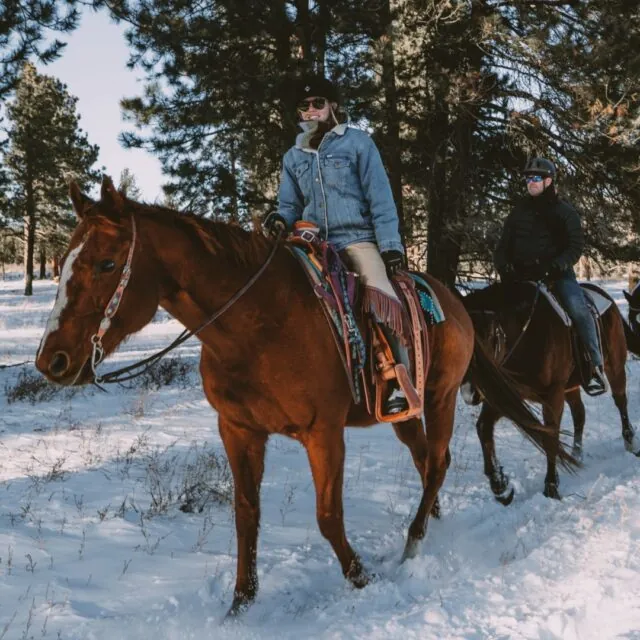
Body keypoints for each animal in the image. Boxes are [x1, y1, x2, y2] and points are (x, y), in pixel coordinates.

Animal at [37, 178, 572, 616]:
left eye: (107, 263)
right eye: (62, 264)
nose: (52, 361)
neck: (257, 327)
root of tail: (456, 300)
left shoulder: (323, 434)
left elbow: (328, 515)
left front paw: (360, 577)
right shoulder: (237, 431)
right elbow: (246, 516)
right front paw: (241, 600)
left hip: (440, 397)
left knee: (438, 462)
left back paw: (416, 539)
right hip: (405, 413)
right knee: (426, 463)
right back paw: (436, 517)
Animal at [462, 282, 636, 502]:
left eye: (487, 339)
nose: (469, 394)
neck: (527, 334)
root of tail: (606, 298)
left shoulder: (553, 395)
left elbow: (550, 437)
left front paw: (551, 487)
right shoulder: (505, 395)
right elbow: (484, 427)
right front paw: (500, 486)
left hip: (615, 368)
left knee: (621, 402)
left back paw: (630, 443)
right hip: (571, 387)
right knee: (579, 414)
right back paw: (577, 454)